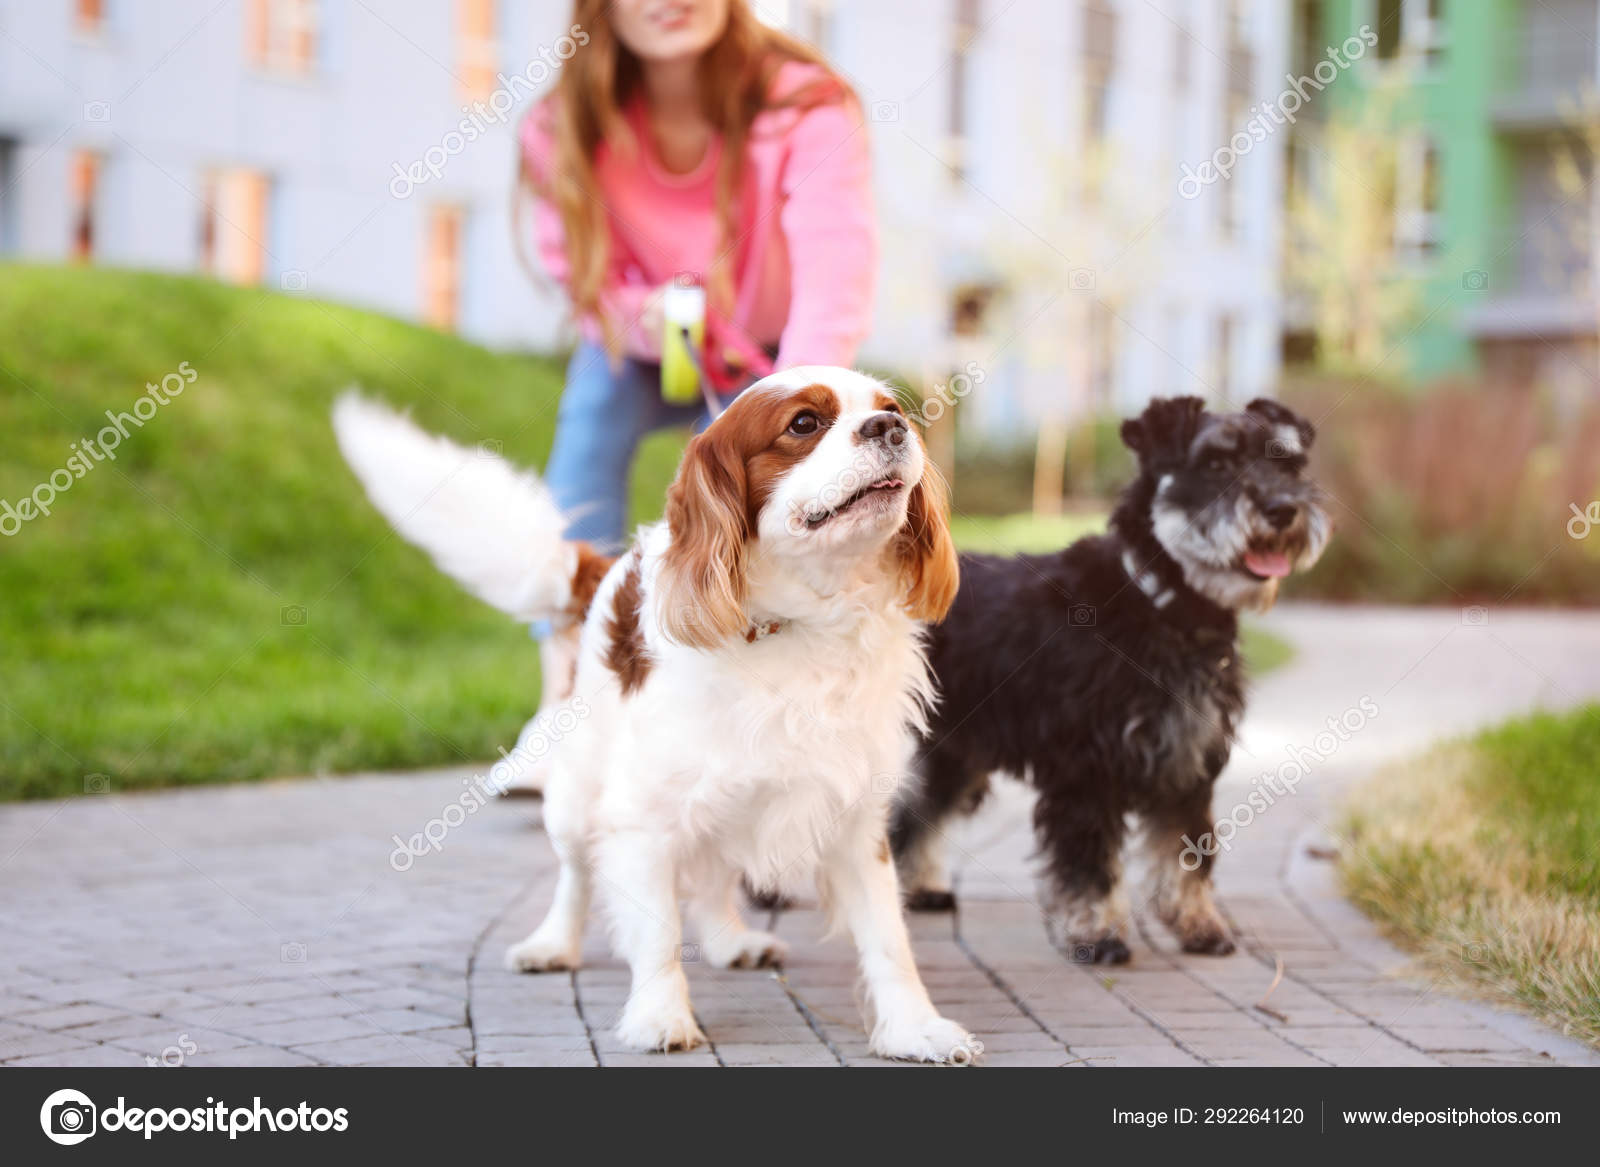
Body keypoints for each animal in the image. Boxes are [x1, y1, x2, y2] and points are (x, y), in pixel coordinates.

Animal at [896, 395, 1331, 960]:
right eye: (1216, 464)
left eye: (1288, 463)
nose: (1282, 510)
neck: (1164, 606)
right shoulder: (1087, 770)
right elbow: (1091, 862)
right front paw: (1098, 931)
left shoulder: (1187, 764)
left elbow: (1187, 851)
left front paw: (1199, 922)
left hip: (955, 751)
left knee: (919, 809)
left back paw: (919, 887)